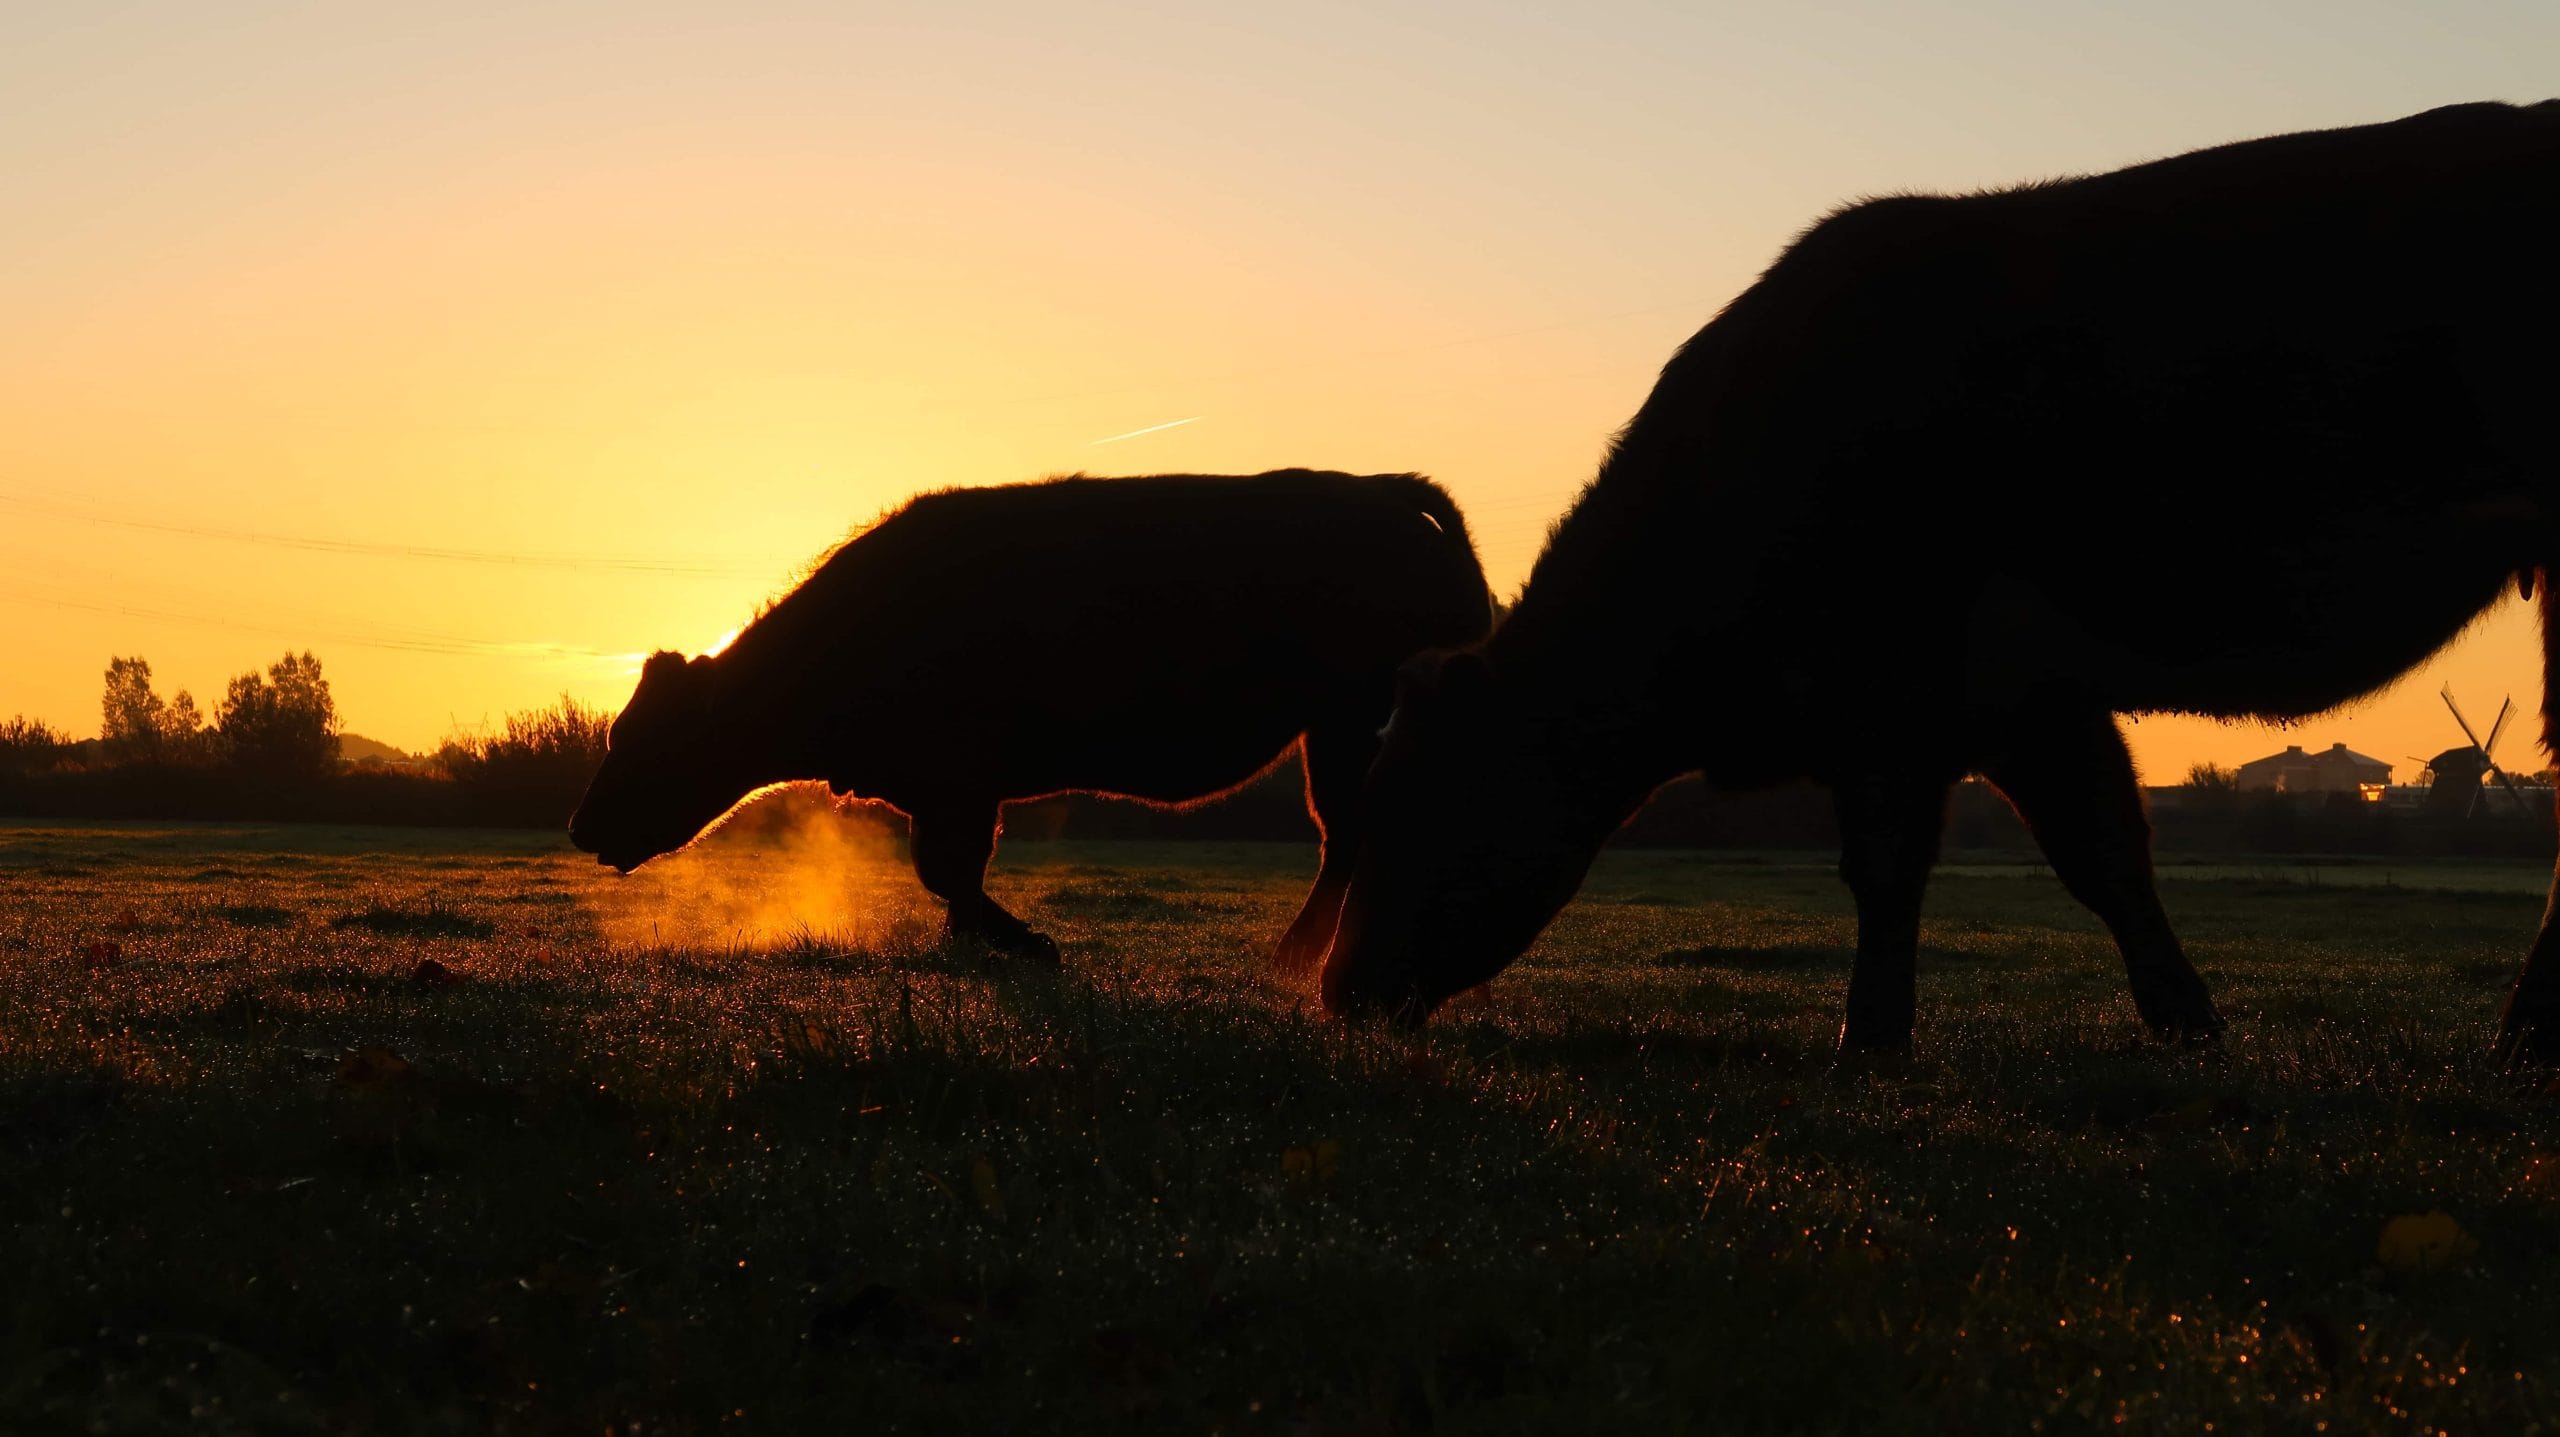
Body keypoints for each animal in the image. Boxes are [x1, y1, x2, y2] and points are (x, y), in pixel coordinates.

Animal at [569, 469, 1492, 965]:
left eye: (640, 736)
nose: (579, 827)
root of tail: (1384, 495)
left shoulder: (959, 780)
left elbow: (949, 867)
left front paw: (1024, 944)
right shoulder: (952, 789)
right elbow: (953, 873)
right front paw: (971, 943)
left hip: (1346, 729)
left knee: (1353, 836)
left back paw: (1297, 955)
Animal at [1315, 100, 2560, 1062]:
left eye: (1410, 799)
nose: (1335, 991)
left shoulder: (1901, 691)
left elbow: (1888, 865)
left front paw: (1866, 1044)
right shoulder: (2026, 700)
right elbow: (2104, 852)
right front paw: (2188, 1025)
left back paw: (2521, 1039)